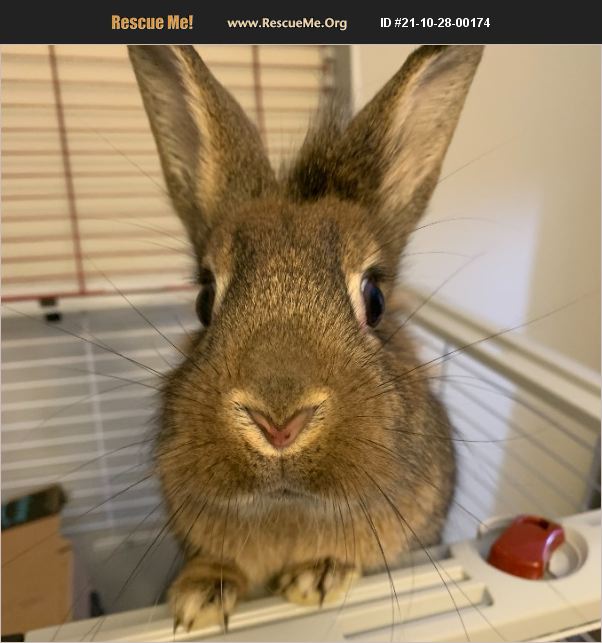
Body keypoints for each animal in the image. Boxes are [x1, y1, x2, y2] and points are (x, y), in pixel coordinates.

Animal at [128, 44, 484, 632]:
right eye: (204, 298)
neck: (287, 507)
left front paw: (318, 576)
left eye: (375, 299)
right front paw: (197, 599)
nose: (278, 424)